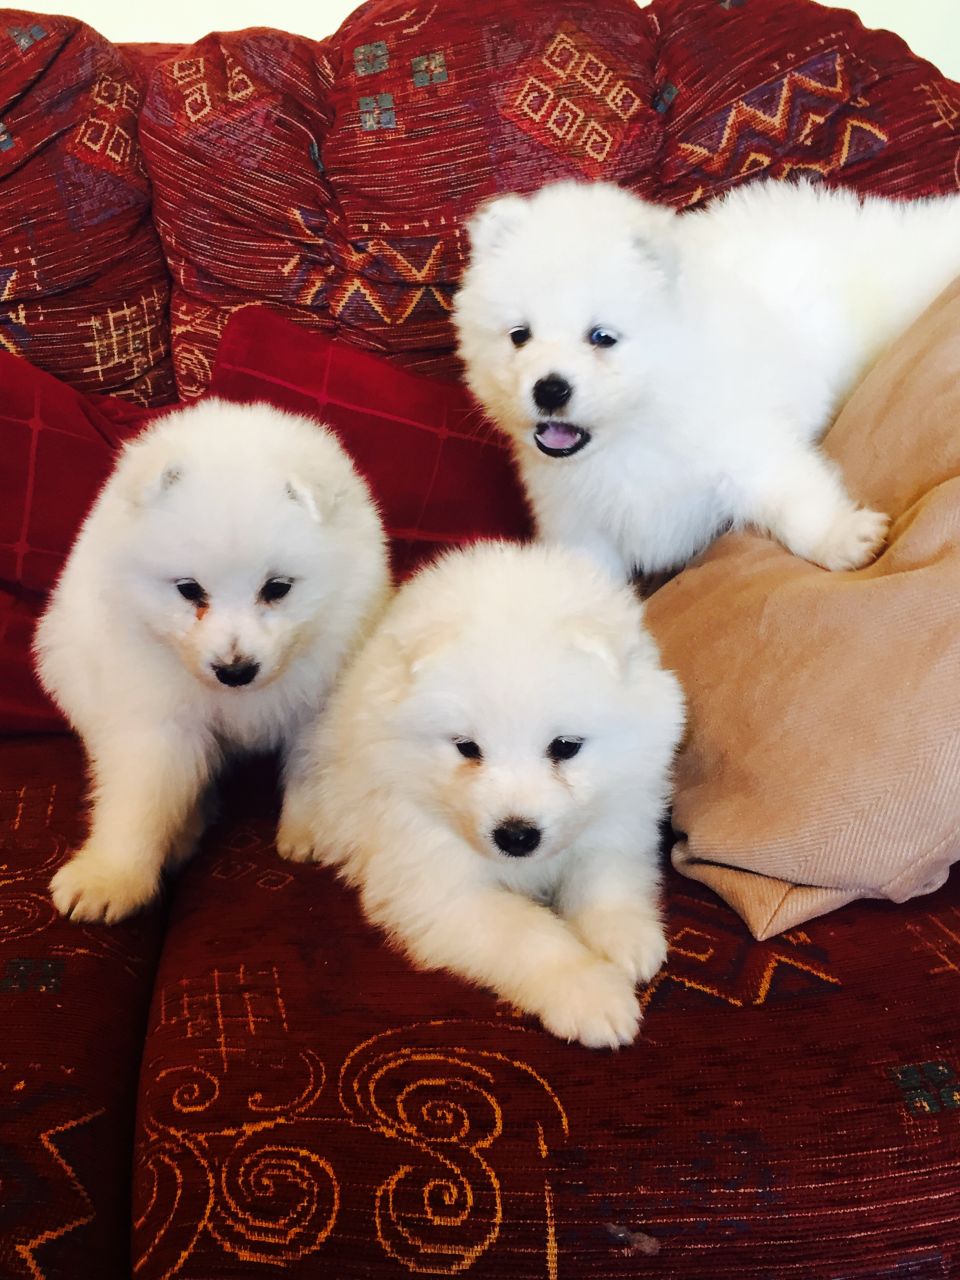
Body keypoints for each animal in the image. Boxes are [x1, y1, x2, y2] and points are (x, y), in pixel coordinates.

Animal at [36, 399, 391, 921]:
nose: (235, 671)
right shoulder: (157, 713)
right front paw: (110, 876)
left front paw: (308, 831)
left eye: (277, 588)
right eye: (189, 590)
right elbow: (139, 793)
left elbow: (310, 768)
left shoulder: (321, 701)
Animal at [281, 540, 686, 1049]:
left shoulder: (618, 819)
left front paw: (626, 934)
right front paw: (590, 993)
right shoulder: (438, 886)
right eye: (467, 747)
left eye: (565, 746)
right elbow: (526, 932)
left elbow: (607, 876)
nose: (516, 837)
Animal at [455, 175, 960, 581]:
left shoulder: (745, 443)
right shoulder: (577, 520)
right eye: (519, 335)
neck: (634, 432)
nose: (550, 388)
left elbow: (792, 497)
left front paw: (839, 537)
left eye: (601, 337)